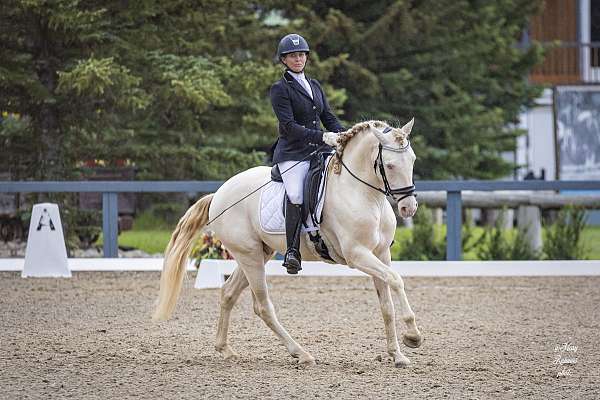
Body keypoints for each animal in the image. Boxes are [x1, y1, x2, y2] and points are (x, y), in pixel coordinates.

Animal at [152, 119, 424, 368]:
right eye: (389, 165)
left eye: (412, 160)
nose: (408, 208)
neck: (364, 194)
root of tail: (218, 194)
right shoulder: (357, 254)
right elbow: (396, 280)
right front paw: (413, 335)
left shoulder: (381, 253)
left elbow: (387, 304)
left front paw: (398, 355)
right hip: (250, 256)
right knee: (263, 306)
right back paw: (301, 354)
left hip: (258, 254)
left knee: (228, 293)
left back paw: (225, 349)